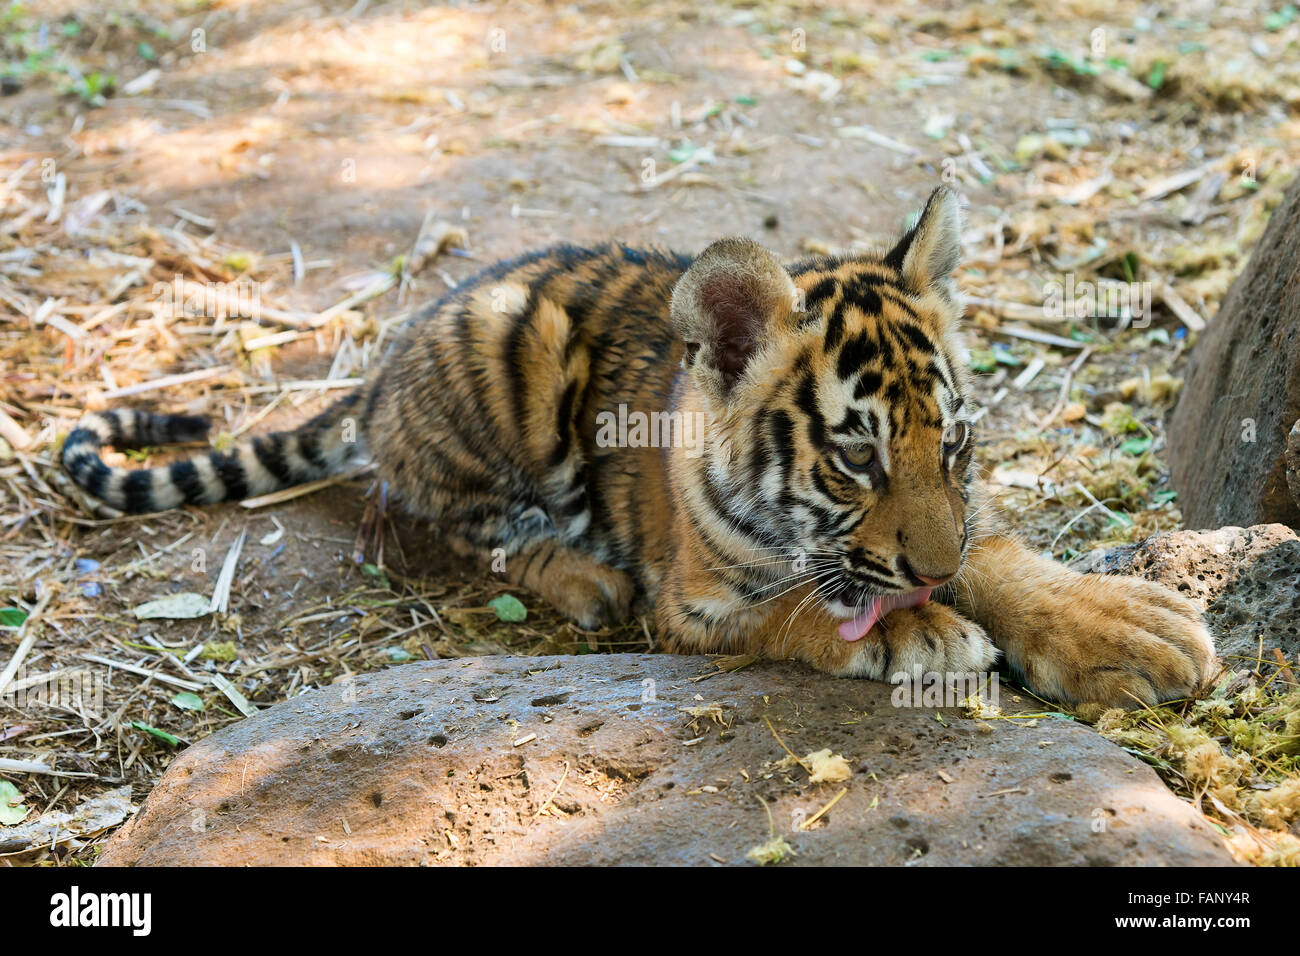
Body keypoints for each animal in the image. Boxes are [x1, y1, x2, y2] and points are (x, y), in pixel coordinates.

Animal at [61, 186, 1215, 709]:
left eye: (958, 440)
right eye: (856, 457)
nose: (932, 572)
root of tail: (381, 368)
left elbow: (1002, 555)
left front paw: (1128, 624)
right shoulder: (696, 601)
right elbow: (804, 609)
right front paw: (923, 633)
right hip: (508, 360)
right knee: (466, 525)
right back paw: (580, 576)